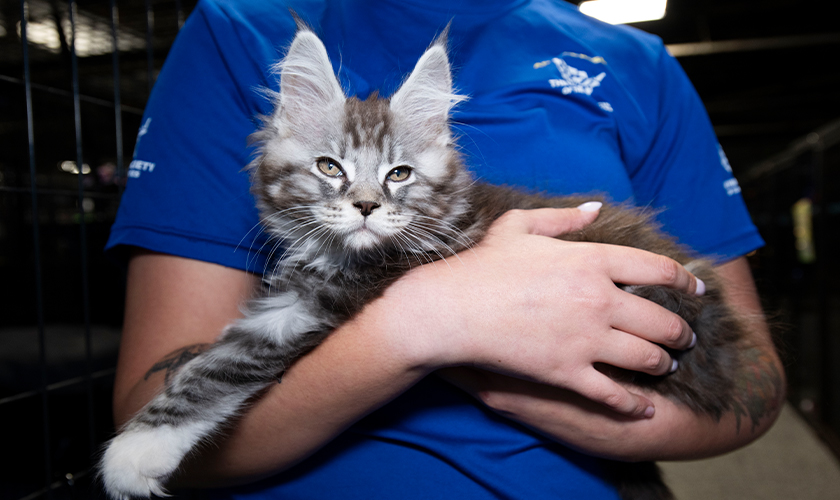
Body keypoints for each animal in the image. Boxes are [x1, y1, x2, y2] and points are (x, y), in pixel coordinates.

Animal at [101, 26, 752, 500]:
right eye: (330, 167)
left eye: (398, 174)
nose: (366, 205)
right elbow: (206, 353)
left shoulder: (318, 302)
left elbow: (226, 363)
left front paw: (136, 453)